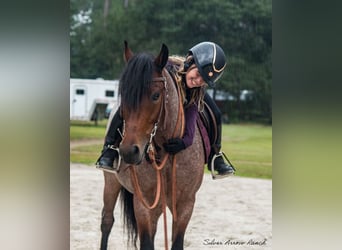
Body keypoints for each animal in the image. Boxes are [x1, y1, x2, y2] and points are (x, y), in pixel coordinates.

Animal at [99, 42, 206, 249]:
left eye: (156, 95)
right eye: (124, 95)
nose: (128, 151)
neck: (167, 153)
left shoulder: (185, 205)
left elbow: (177, 242)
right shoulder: (144, 205)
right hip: (111, 182)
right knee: (107, 222)